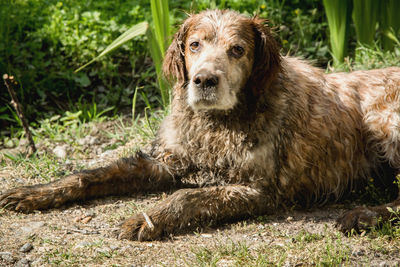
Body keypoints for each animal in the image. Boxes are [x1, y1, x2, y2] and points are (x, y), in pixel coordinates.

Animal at [0, 9, 400, 241]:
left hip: (382, 123)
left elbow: (186, 196)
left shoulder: (261, 190)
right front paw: (33, 192)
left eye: (237, 50)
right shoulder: (166, 161)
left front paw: (148, 219)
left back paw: (362, 215)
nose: (204, 80)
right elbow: (88, 175)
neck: (218, 123)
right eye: (194, 45)